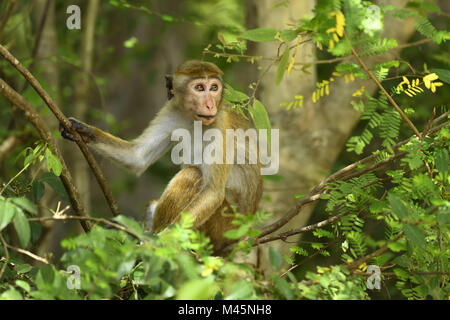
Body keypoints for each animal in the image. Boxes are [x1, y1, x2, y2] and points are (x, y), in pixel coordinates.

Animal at [61, 60, 262, 252]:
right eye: (199, 88)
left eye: (214, 88)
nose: (210, 104)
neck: (194, 120)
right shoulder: (171, 110)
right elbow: (137, 157)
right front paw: (83, 130)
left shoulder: (221, 124)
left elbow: (213, 191)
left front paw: (166, 239)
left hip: (222, 229)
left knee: (192, 175)